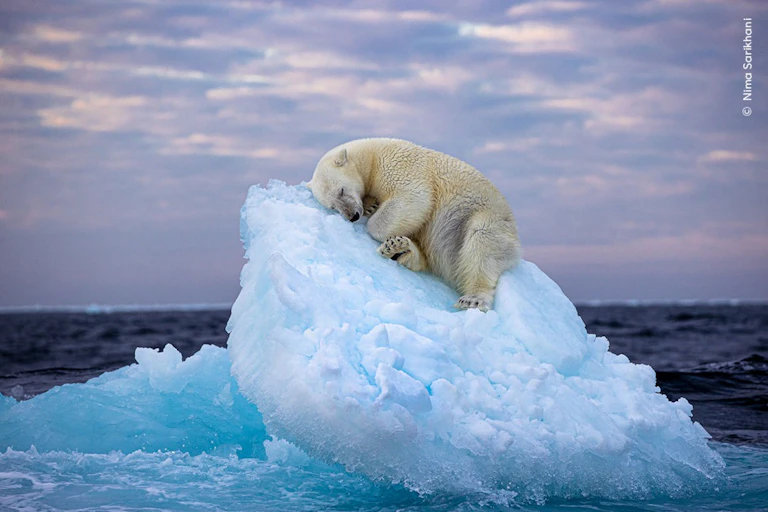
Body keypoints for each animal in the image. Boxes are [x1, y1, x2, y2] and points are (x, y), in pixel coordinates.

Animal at [308, 138, 521, 311]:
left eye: (341, 190)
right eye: (332, 206)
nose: (352, 215)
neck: (371, 156)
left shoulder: (399, 165)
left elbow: (414, 198)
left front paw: (374, 217)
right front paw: (371, 205)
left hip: (484, 217)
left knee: (482, 244)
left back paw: (473, 299)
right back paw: (399, 249)